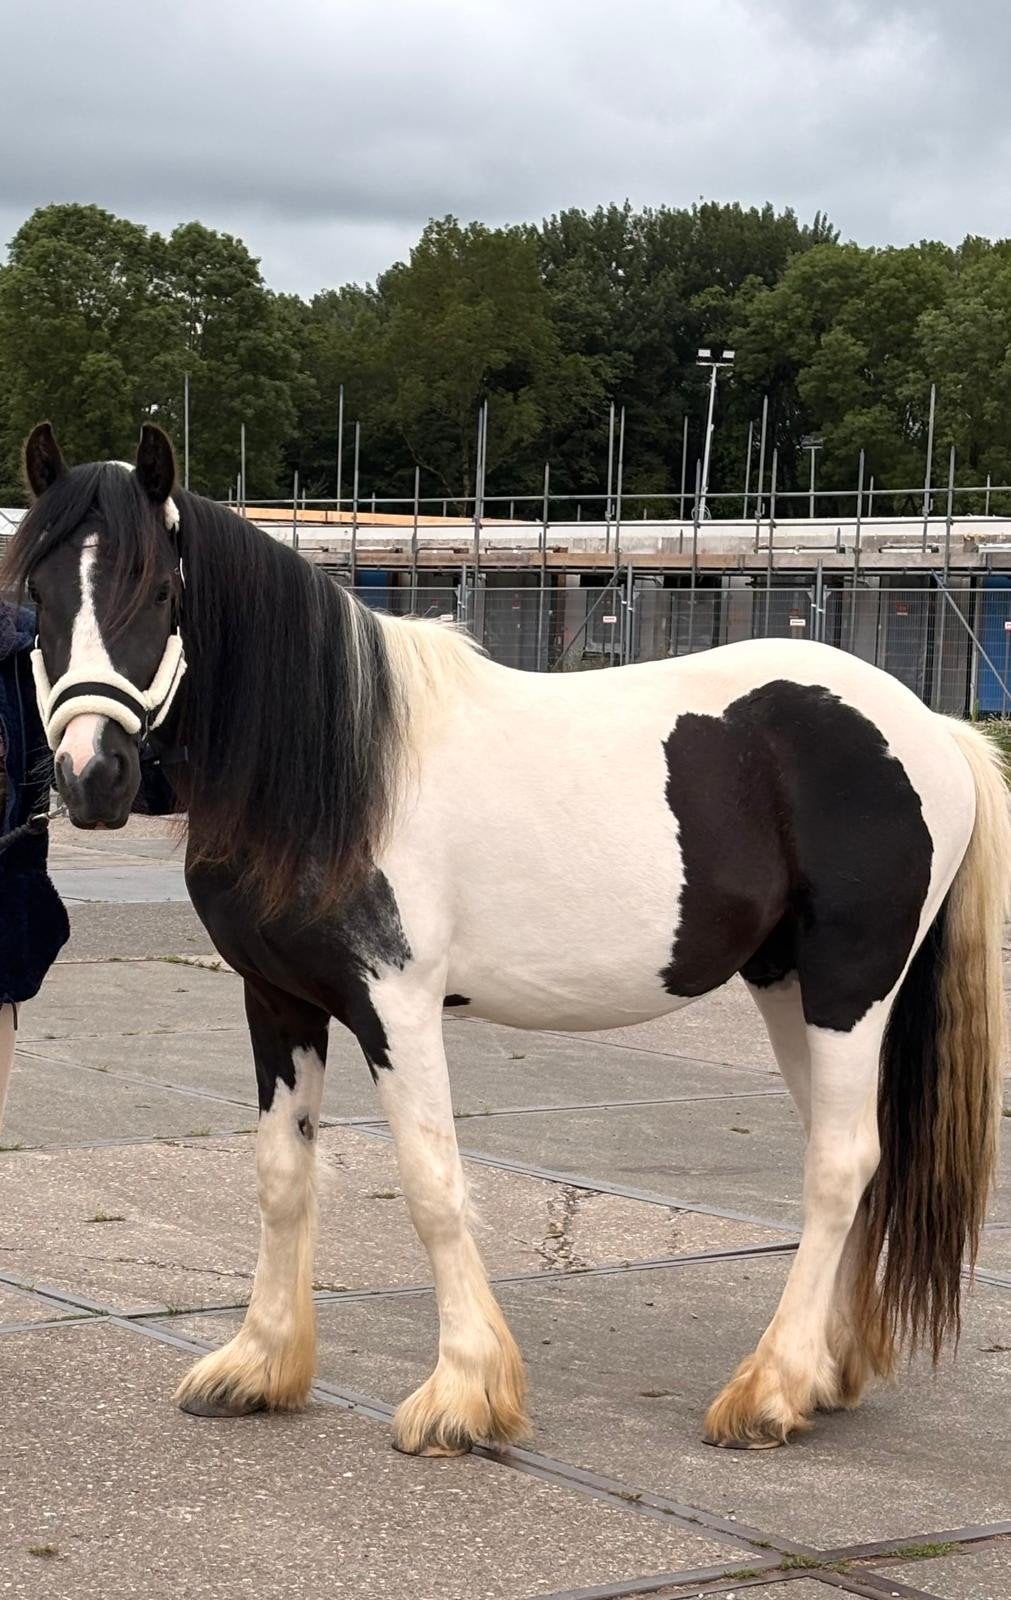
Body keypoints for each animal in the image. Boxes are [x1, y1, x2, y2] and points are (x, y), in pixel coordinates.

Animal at [3, 420, 1007, 1455]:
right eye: (35, 594)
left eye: (160, 592)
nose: (90, 777)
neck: (339, 765)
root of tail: (931, 726)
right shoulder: (276, 1000)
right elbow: (283, 1173)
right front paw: (260, 1364)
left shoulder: (394, 1004)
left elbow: (431, 1181)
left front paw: (462, 1392)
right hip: (787, 985)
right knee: (846, 1153)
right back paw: (823, 1374)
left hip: (851, 985)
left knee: (839, 1164)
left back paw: (768, 1389)